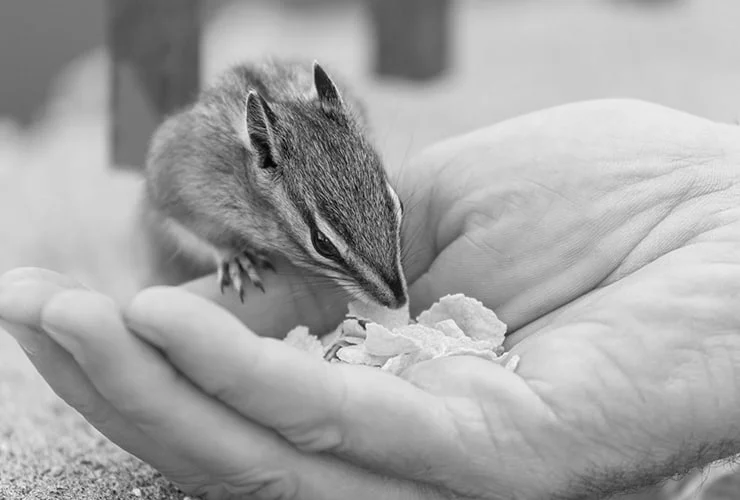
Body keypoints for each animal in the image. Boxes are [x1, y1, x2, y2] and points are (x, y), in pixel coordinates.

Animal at [138, 58, 408, 309]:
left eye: (399, 205)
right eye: (321, 242)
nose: (399, 301)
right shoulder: (180, 189)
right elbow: (204, 232)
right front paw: (236, 257)